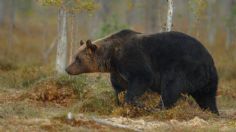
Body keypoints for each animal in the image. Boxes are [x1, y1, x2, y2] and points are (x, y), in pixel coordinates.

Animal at [65, 28, 219, 114]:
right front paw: (118, 102)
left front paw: (137, 103)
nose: (67, 69)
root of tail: (209, 60)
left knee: (171, 87)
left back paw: (158, 108)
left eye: (77, 59)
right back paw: (213, 112)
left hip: (183, 67)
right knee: (207, 97)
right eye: (74, 56)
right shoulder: (117, 71)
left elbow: (142, 78)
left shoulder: (132, 58)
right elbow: (118, 87)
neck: (112, 57)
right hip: (207, 80)